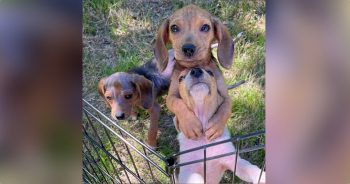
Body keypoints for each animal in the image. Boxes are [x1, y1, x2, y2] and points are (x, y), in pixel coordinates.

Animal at [154, 5, 234, 142]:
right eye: (174, 28)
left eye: (205, 27)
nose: (188, 49)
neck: (195, 66)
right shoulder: (171, 96)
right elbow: (177, 103)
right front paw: (190, 124)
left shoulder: (225, 96)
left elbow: (226, 108)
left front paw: (216, 125)